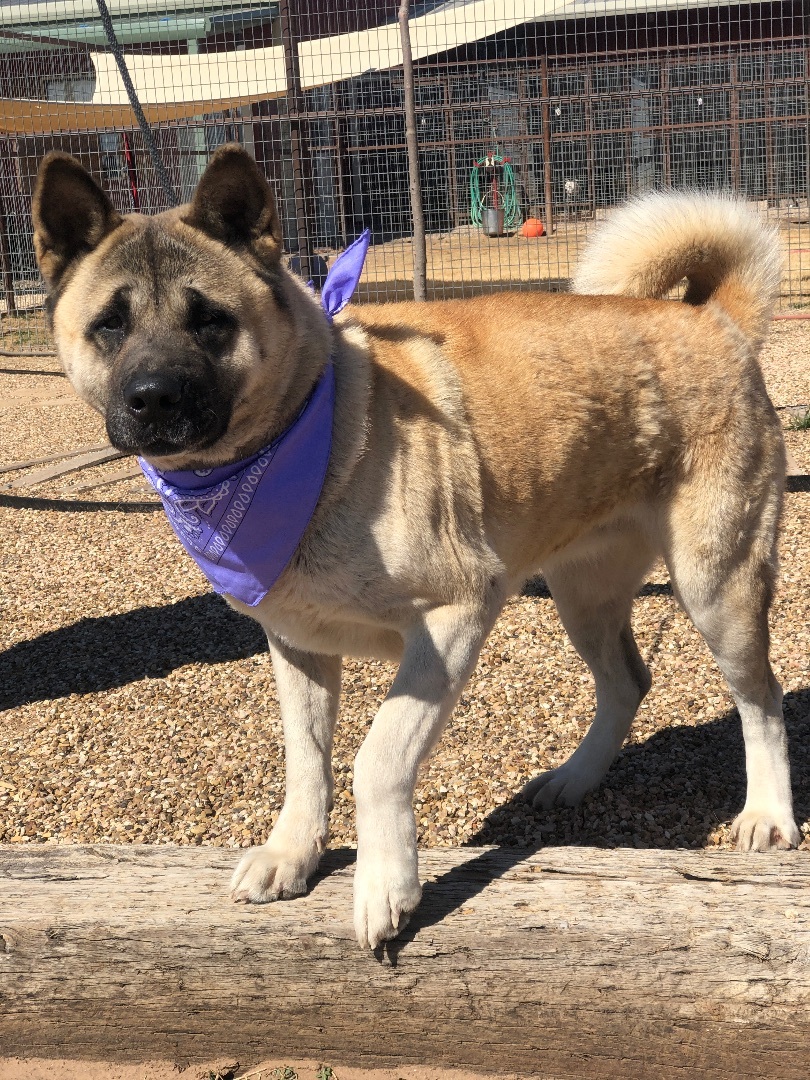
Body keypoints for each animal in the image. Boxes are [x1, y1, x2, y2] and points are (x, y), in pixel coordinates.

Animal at [31, 145, 799, 946]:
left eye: (209, 320)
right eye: (109, 325)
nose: (153, 396)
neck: (319, 436)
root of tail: (714, 318)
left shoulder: (455, 614)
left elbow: (377, 759)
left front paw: (384, 883)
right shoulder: (296, 642)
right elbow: (307, 761)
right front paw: (291, 853)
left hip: (716, 583)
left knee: (761, 696)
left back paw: (768, 814)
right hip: (583, 593)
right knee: (627, 681)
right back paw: (575, 777)